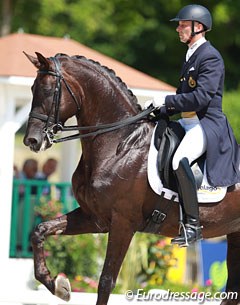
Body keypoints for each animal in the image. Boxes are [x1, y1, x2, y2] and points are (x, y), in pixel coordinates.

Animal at [22, 51, 240, 302]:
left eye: (48, 90)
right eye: (31, 88)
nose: (32, 140)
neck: (119, 142)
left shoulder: (123, 222)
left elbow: (106, 281)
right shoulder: (95, 218)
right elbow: (40, 230)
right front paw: (58, 285)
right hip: (235, 234)